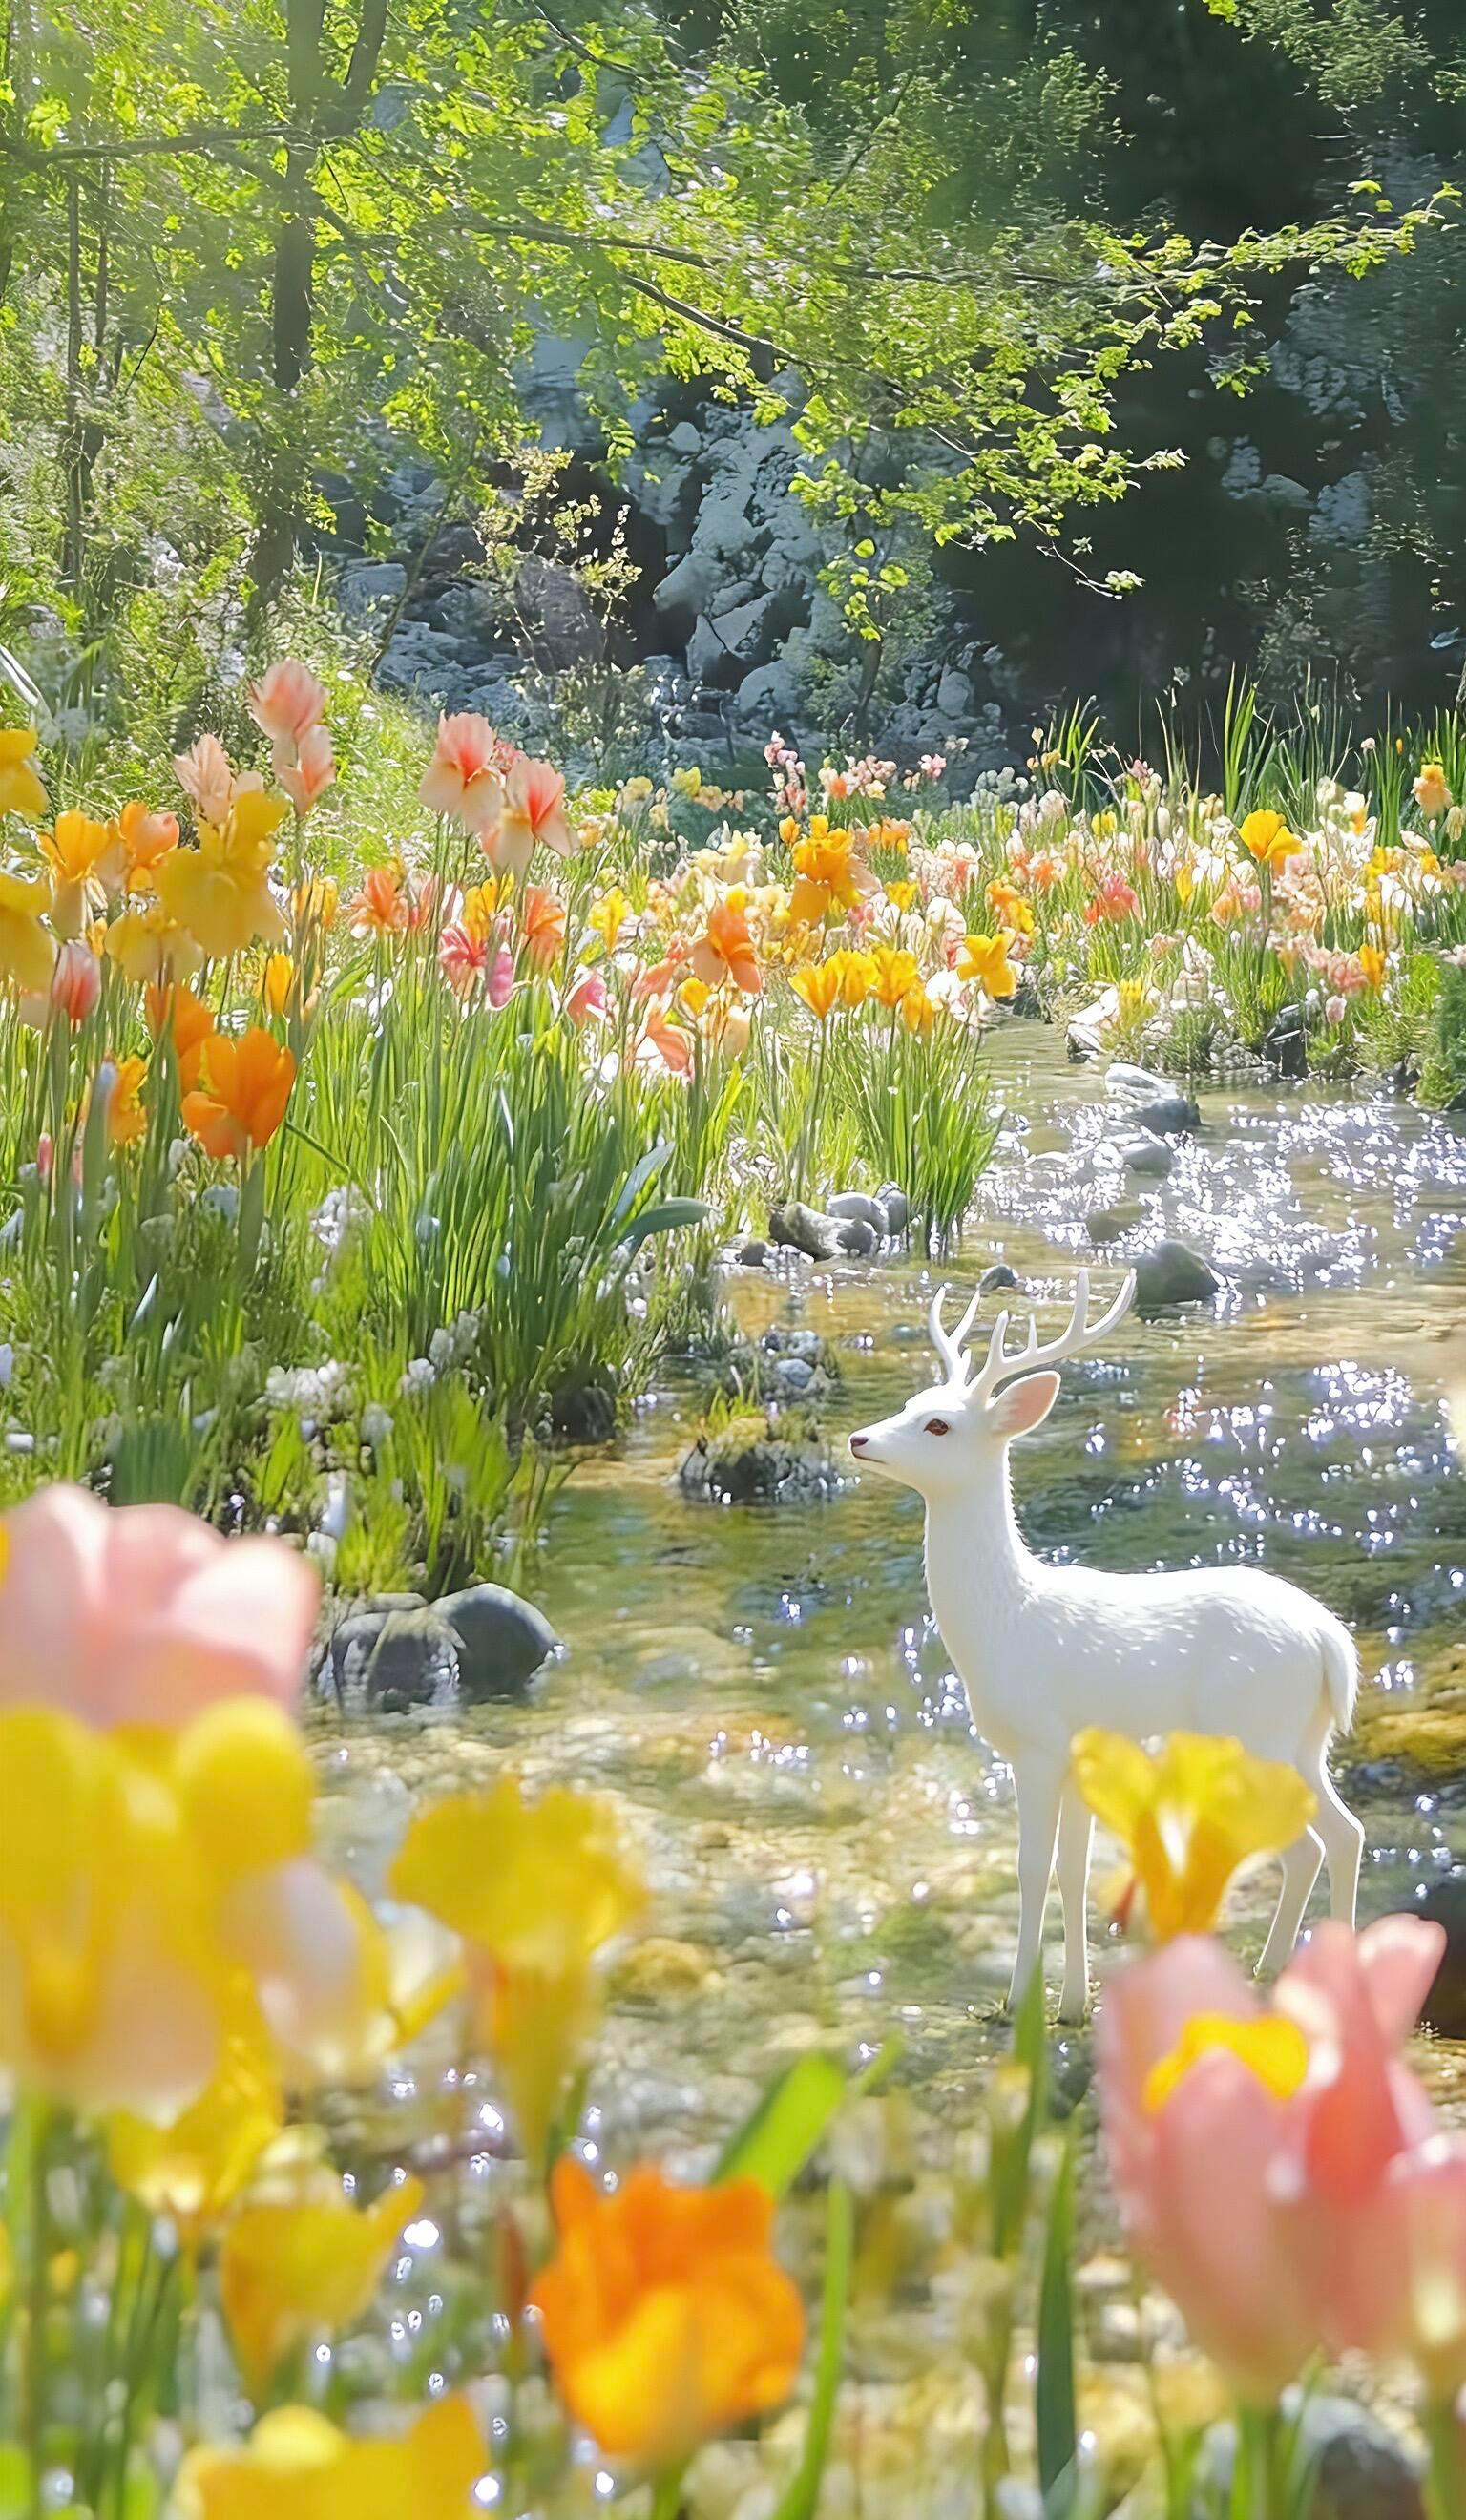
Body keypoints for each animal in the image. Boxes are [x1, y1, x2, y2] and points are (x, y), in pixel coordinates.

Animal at [848, 1269, 1364, 2020]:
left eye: (938, 1424)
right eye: (912, 1402)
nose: (859, 1439)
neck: (1003, 1619)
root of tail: (1331, 1640)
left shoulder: (1037, 1744)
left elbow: (1033, 1868)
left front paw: (1017, 2002)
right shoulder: (1077, 1754)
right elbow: (1072, 1870)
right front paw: (1071, 2003)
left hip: (1254, 1732)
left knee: (1305, 1845)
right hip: (1303, 1740)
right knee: (1343, 1835)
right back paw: (1307, 1968)